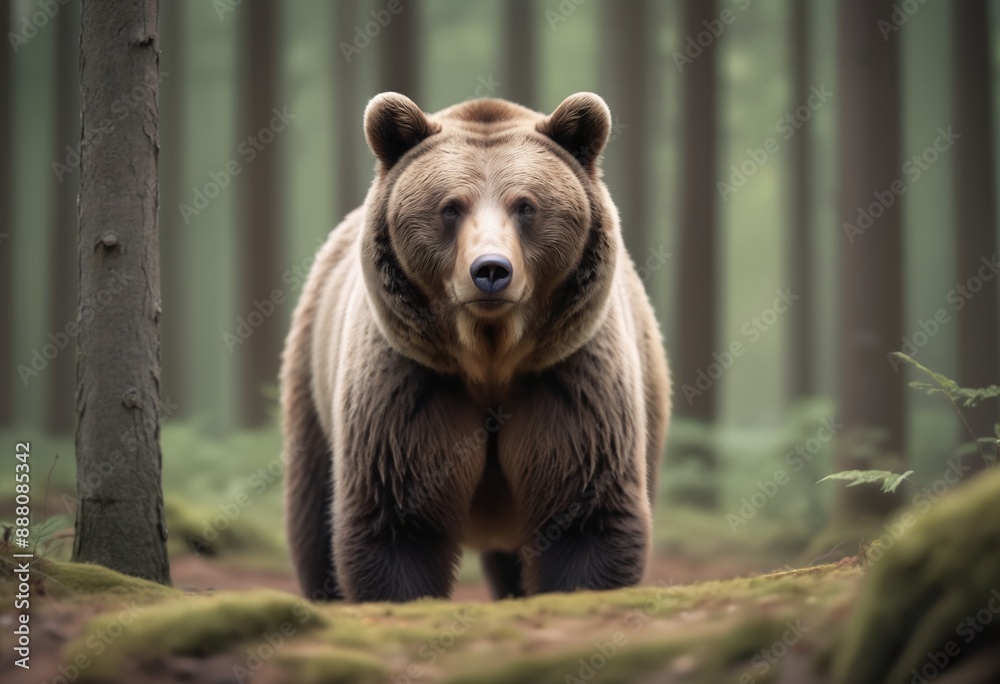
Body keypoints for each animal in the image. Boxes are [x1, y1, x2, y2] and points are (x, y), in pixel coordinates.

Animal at [282, 91, 671, 603]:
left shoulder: (569, 379)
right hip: (312, 381)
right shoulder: (411, 384)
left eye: (526, 206)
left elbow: (585, 515)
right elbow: (397, 519)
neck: (491, 358)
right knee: (313, 518)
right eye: (450, 207)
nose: (490, 270)